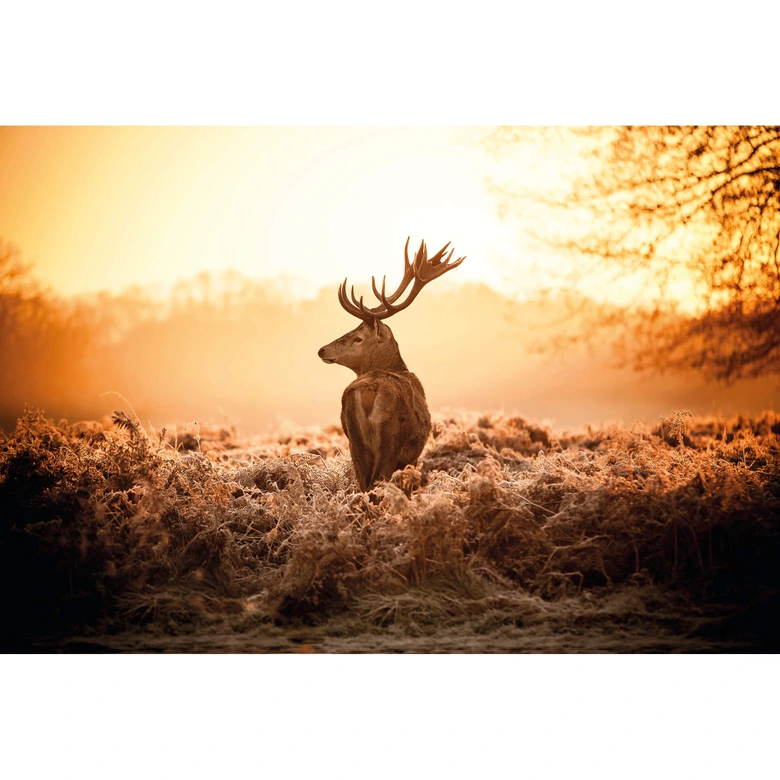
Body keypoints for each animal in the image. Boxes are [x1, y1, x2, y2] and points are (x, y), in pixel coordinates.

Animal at [318, 238, 465, 492]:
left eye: (358, 338)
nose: (322, 350)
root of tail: (368, 391)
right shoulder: (412, 455)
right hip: (391, 438)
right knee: (378, 482)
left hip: (354, 440)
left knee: (363, 482)